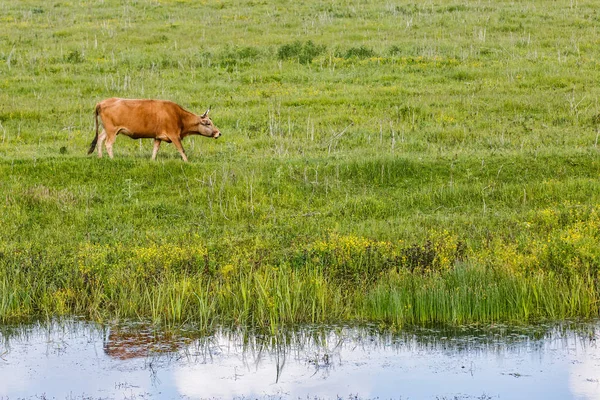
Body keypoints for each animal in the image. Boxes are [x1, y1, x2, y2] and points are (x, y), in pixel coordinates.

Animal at [88, 97, 221, 162]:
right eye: (208, 123)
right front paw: (187, 162)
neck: (178, 115)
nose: (219, 133)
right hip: (112, 131)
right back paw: (112, 158)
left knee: (100, 139)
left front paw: (152, 160)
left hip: (107, 130)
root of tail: (101, 103)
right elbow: (182, 150)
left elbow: (155, 150)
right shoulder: (174, 135)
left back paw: (100, 157)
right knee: (108, 143)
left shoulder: (158, 137)